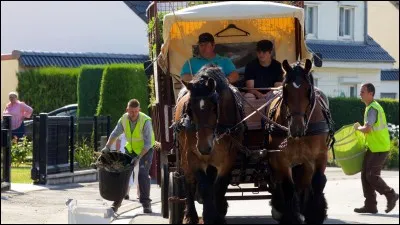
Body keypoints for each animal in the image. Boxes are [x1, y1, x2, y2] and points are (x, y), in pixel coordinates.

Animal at [173, 64, 245, 224]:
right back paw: (190, 215)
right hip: (184, 155)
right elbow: (205, 186)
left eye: (214, 107)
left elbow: (218, 186)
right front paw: (209, 216)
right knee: (188, 181)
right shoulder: (192, 156)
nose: (204, 147)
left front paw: (218, 214)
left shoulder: (228, 158)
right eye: (190, 109)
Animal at [266, 59, 334, 224]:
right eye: (285, 89)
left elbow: (318, 182)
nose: (296, 128)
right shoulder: (281, 159)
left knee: (305, 184)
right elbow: (288, 187)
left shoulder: (319, 156)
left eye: (308, 89)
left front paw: (315, 214)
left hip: (306, 163)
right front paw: (290, 217)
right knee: (280, 184)